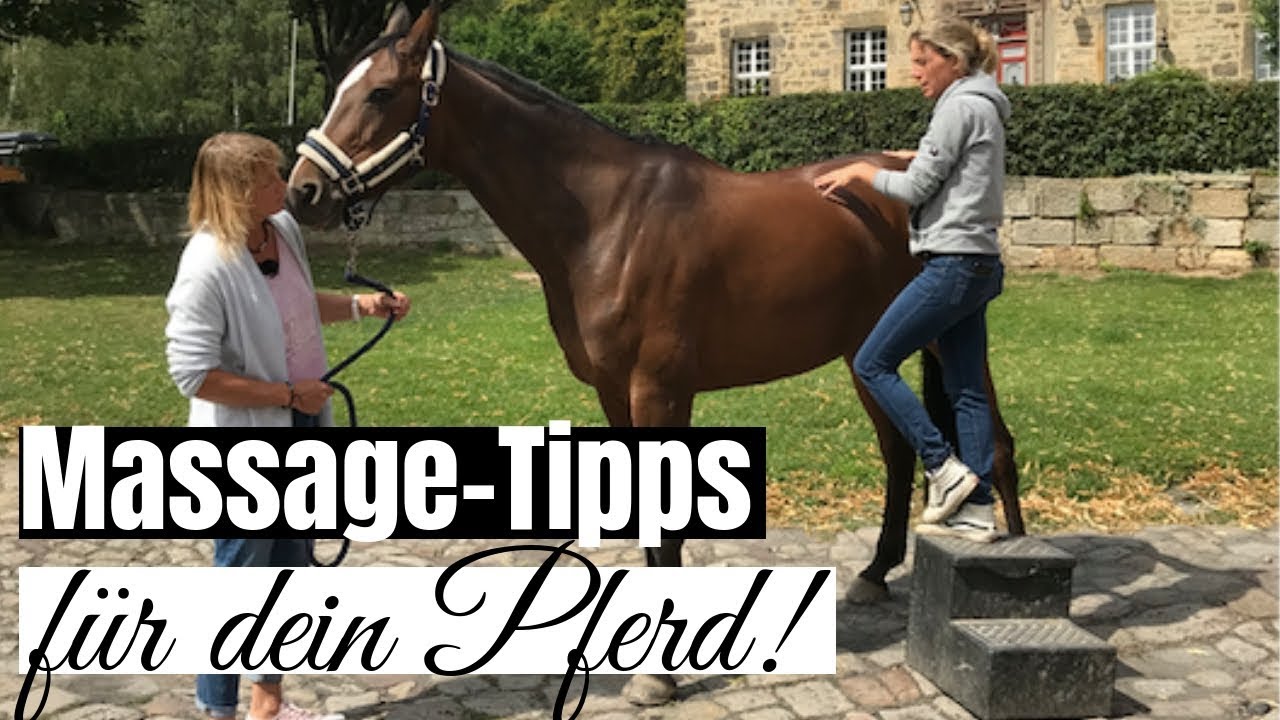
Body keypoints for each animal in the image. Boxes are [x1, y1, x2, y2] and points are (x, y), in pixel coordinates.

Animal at [286, 1, 1024, 702]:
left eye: (381, 93)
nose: (303, 190)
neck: (609, 219)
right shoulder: (615, 390)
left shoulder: (659, 389)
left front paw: (658, 677)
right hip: (864, 353)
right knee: (898, 452)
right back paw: (873, 573)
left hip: (946, 338)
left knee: (995, 442)